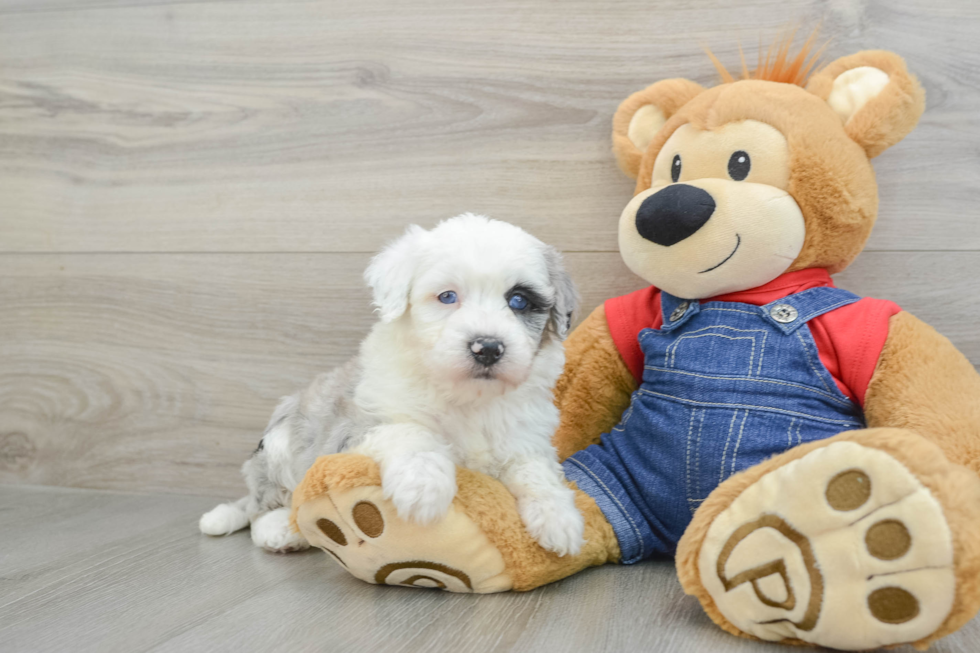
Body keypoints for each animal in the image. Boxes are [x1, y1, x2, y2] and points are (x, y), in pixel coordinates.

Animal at [198, 214, 580, 556]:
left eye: (519, 301)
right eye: (447, 297)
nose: (487, 347)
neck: (466, 398)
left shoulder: (524, 438)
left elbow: (535, 470)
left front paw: (559, 517)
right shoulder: (357, 428)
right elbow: (411, 434)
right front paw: (424, 488)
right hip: (278, 443)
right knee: (262, 506)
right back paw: (280, 530)